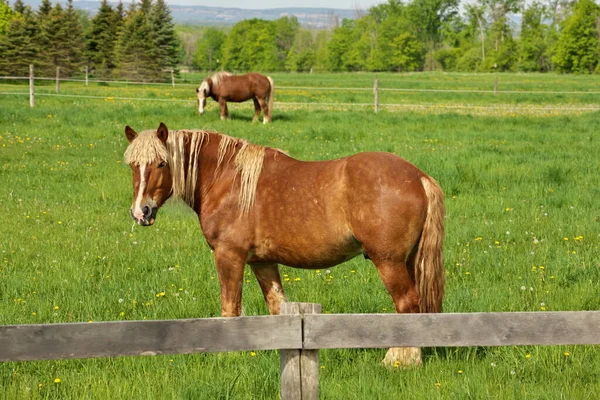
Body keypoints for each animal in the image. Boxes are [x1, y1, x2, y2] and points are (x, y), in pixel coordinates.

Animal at [125, 123, 446, 368]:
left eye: (161, 163)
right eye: (132, 166)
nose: (141, 212)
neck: (227, 179)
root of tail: (418, 176)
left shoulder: (229, 256)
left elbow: (230, 308)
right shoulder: (262, 261)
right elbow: (277, 306)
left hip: (388, 261)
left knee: (406, 304)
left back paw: (399, 360)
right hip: (408, 261)